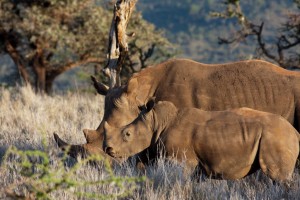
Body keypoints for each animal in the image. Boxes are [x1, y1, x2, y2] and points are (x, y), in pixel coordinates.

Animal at [103, 100, 300, 181]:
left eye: (127, 134)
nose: (107, 149)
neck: (157, 122)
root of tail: (295, 132)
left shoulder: (181, 160)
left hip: (276, 136)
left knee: (279, 178)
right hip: (277, 136)